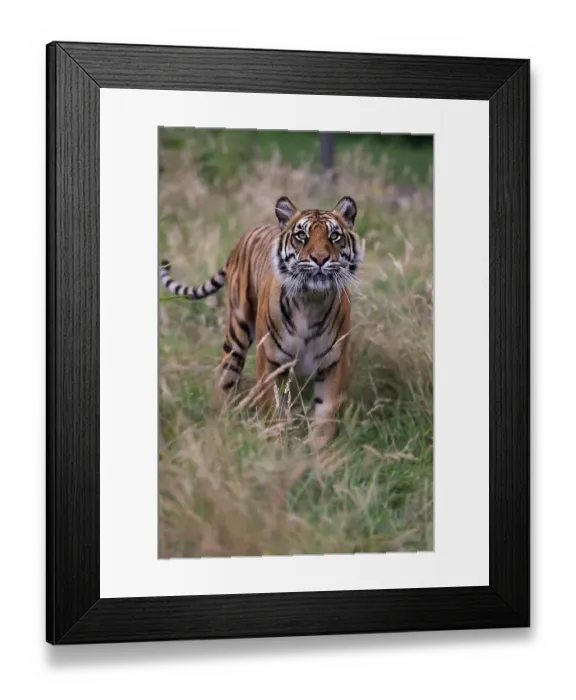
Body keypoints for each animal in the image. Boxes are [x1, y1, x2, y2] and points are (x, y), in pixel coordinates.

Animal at [159, 195, 364, 447]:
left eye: (334, 236)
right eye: (301, 236)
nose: (320, 259)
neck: (311, 302)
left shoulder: (332, 363)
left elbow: (325, 414)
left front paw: (320, 451)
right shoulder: (270, 361)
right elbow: (273, 409)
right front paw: (277, 446)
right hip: (236, 334)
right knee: (225, 379)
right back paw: (222, 423)